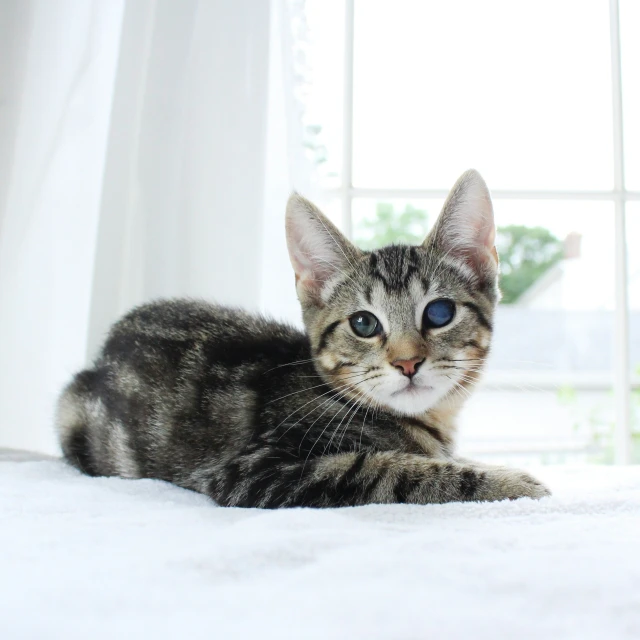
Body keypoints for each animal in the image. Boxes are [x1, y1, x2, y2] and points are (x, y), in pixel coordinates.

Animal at [57, 171, 552, 510]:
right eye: (364, 324)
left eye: (440, 313)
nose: (407, 363)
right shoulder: (254, 470)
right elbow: (385, 468)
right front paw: (511, 483)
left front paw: (487, 466)